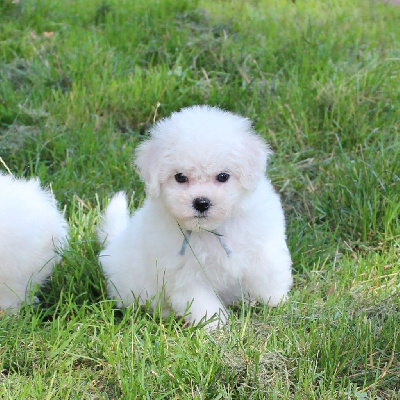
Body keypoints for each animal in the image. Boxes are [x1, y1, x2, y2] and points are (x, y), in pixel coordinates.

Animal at [98, 104, 292, 330]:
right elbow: (200, 301)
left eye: (223, 176)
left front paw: (275, 300)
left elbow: (268, 269)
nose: (201, 202)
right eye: (180, 177)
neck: (212, 229)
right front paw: (217, 326)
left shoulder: (263, 240)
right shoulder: (185, 272)